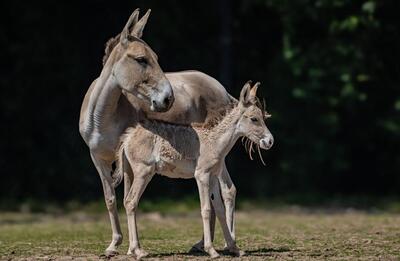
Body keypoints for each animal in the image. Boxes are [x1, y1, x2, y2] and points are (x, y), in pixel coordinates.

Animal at [114, 82, 274, 258]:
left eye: (263, 117)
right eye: (254, 118)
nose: (270, 141)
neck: (214, 142)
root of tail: (128, 137)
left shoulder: (213, 176)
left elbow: (219, 209)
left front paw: (234, 248)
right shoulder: (202, 176)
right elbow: (206, 209)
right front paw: (211, 250)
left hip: (130, 173)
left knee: (127, 201)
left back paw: (131, 250)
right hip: (143, 173)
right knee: (131, 202)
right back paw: (139, 251)